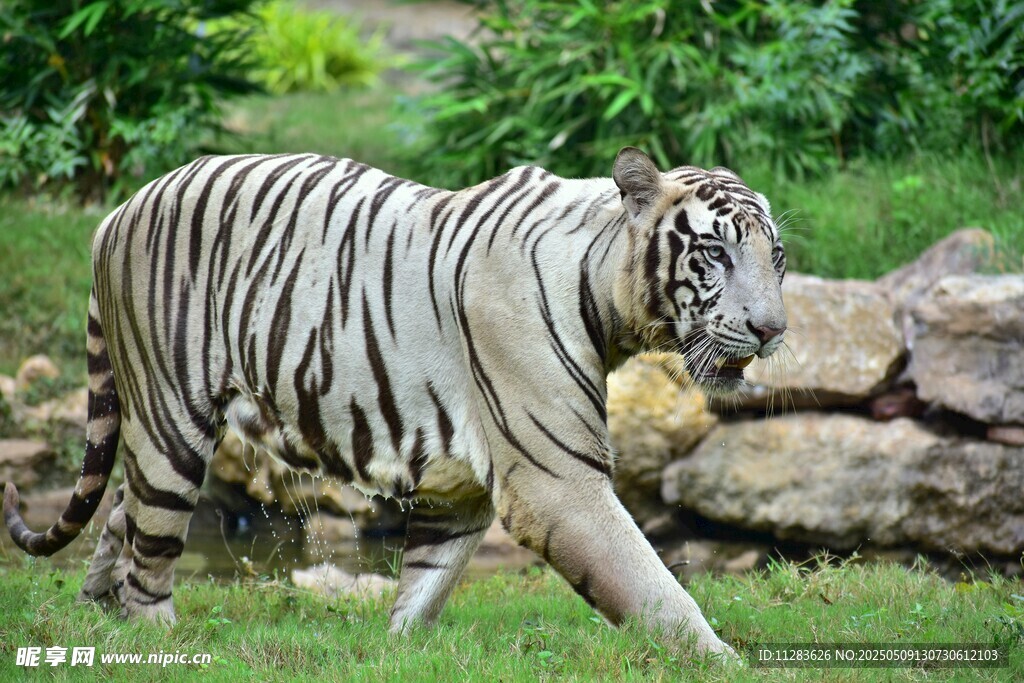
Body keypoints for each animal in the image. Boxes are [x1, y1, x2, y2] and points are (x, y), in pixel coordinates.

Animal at [4, 146, 786, 657]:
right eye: (715, 254)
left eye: (775, 258)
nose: (773, 328)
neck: (609, 296)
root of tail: (116, 212)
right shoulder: (556, 481)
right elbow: (651, 585)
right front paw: (722, 663)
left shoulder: (463, 484)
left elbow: (426, 582)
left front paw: (400, 648)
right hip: (172, 419)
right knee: (150, 555)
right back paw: (154, 639)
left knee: (121, 518)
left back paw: (92, 618)